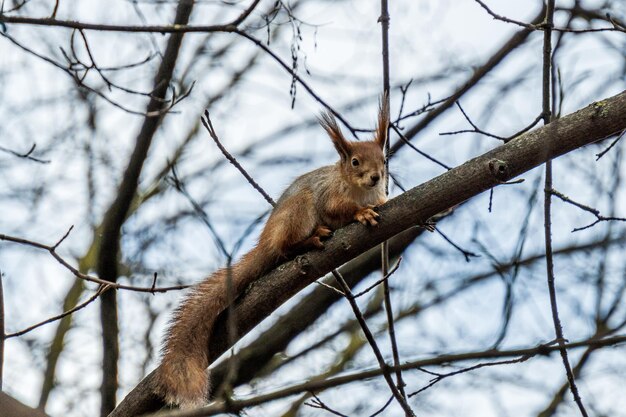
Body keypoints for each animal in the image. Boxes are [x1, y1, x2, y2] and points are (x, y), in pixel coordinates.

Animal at [152, 102, 386, 408]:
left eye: (384, 159)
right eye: (355, 162)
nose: (376, 177)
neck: (359, 189)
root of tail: (266, 242)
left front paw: (378, 203)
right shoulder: (329, 195)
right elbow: (339, 210)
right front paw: (361, 213)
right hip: (299, 210)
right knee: (286, 247)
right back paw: (311, 239)